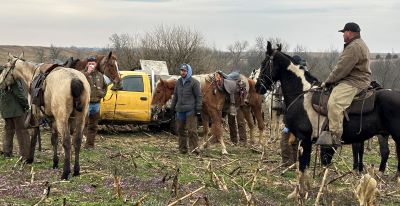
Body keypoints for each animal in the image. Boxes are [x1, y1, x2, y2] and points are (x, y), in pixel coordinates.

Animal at [255, 41, 400, 196]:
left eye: (264, 64)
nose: (258, 87)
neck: (302, 94)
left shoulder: (304, 139)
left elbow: (302, 168)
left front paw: (300, 193)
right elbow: (305, 168)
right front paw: (306, 190)